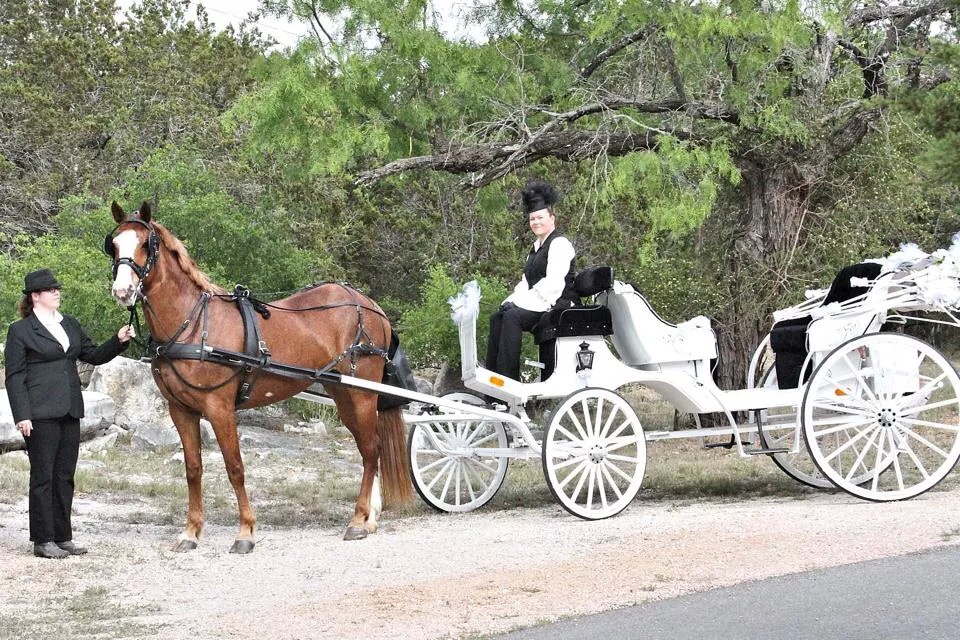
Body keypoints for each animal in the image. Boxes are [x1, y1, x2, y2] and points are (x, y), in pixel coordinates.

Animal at [105, 200, 412, 551]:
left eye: (146, 244)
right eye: (114, 244)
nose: (123, 290)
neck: (193, 324)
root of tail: (371, 306)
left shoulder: (220, 408)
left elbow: (235, 467)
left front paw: (245, 532)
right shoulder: (180, 410)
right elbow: (193, 469)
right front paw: (191, 532)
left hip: (362, 393)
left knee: (372, 449)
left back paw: (359, 521)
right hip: (343, 395)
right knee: (366, 449)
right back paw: (368, 518)